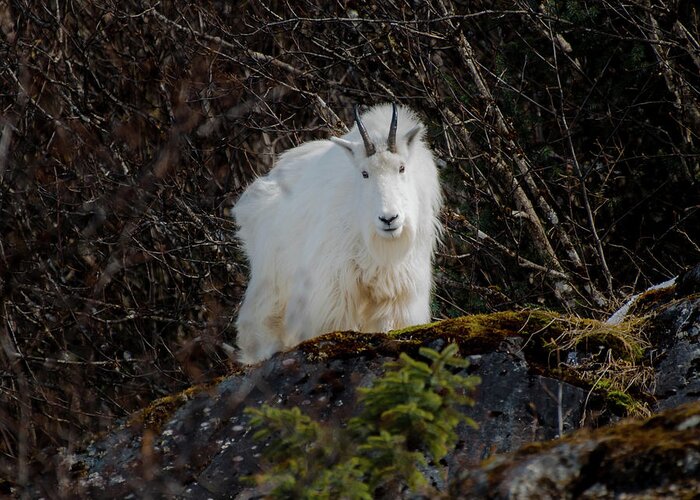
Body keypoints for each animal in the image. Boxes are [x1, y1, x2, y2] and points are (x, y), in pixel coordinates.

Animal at [235, 102, 442, 364]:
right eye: (364, 173)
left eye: (402, 168)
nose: (389, 219)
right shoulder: (335, 286)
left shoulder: (398, 291)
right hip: (271, 280)